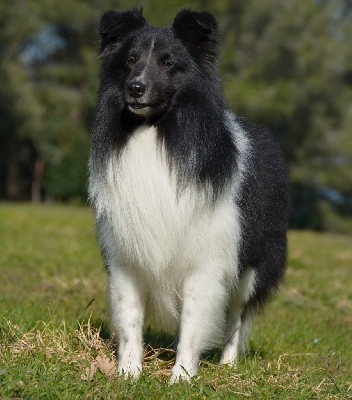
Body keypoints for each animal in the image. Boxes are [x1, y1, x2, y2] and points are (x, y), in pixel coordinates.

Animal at [88, 7, 288, 382]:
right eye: (130, 60)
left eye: (169, 63)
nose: (135, 88)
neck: (155, 133)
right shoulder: (125, 257)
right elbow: (130, 318)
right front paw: (128, 373)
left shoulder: (207, 262)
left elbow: (194, 324)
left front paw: (181, 378)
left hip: (254, 264)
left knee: (237, 317)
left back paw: (228, 365)